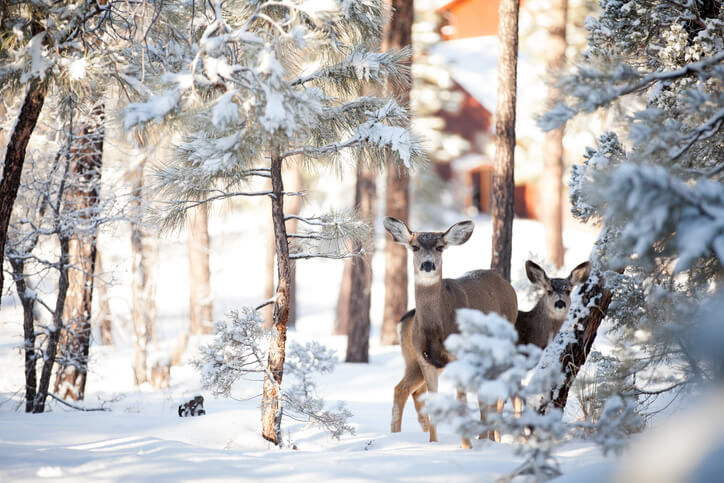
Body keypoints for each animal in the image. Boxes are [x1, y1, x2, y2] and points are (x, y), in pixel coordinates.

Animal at [384, 217, 520, 448]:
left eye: (440, 247)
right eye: (414, 246)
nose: (427, 265)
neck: (436, 327)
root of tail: (506, 284)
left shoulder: (459, 357)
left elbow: (461, 400)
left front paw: (466, 446)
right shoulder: (425, 359)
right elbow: (433, 400)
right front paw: (433, 442)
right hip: (416, 361)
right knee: (403, 389)